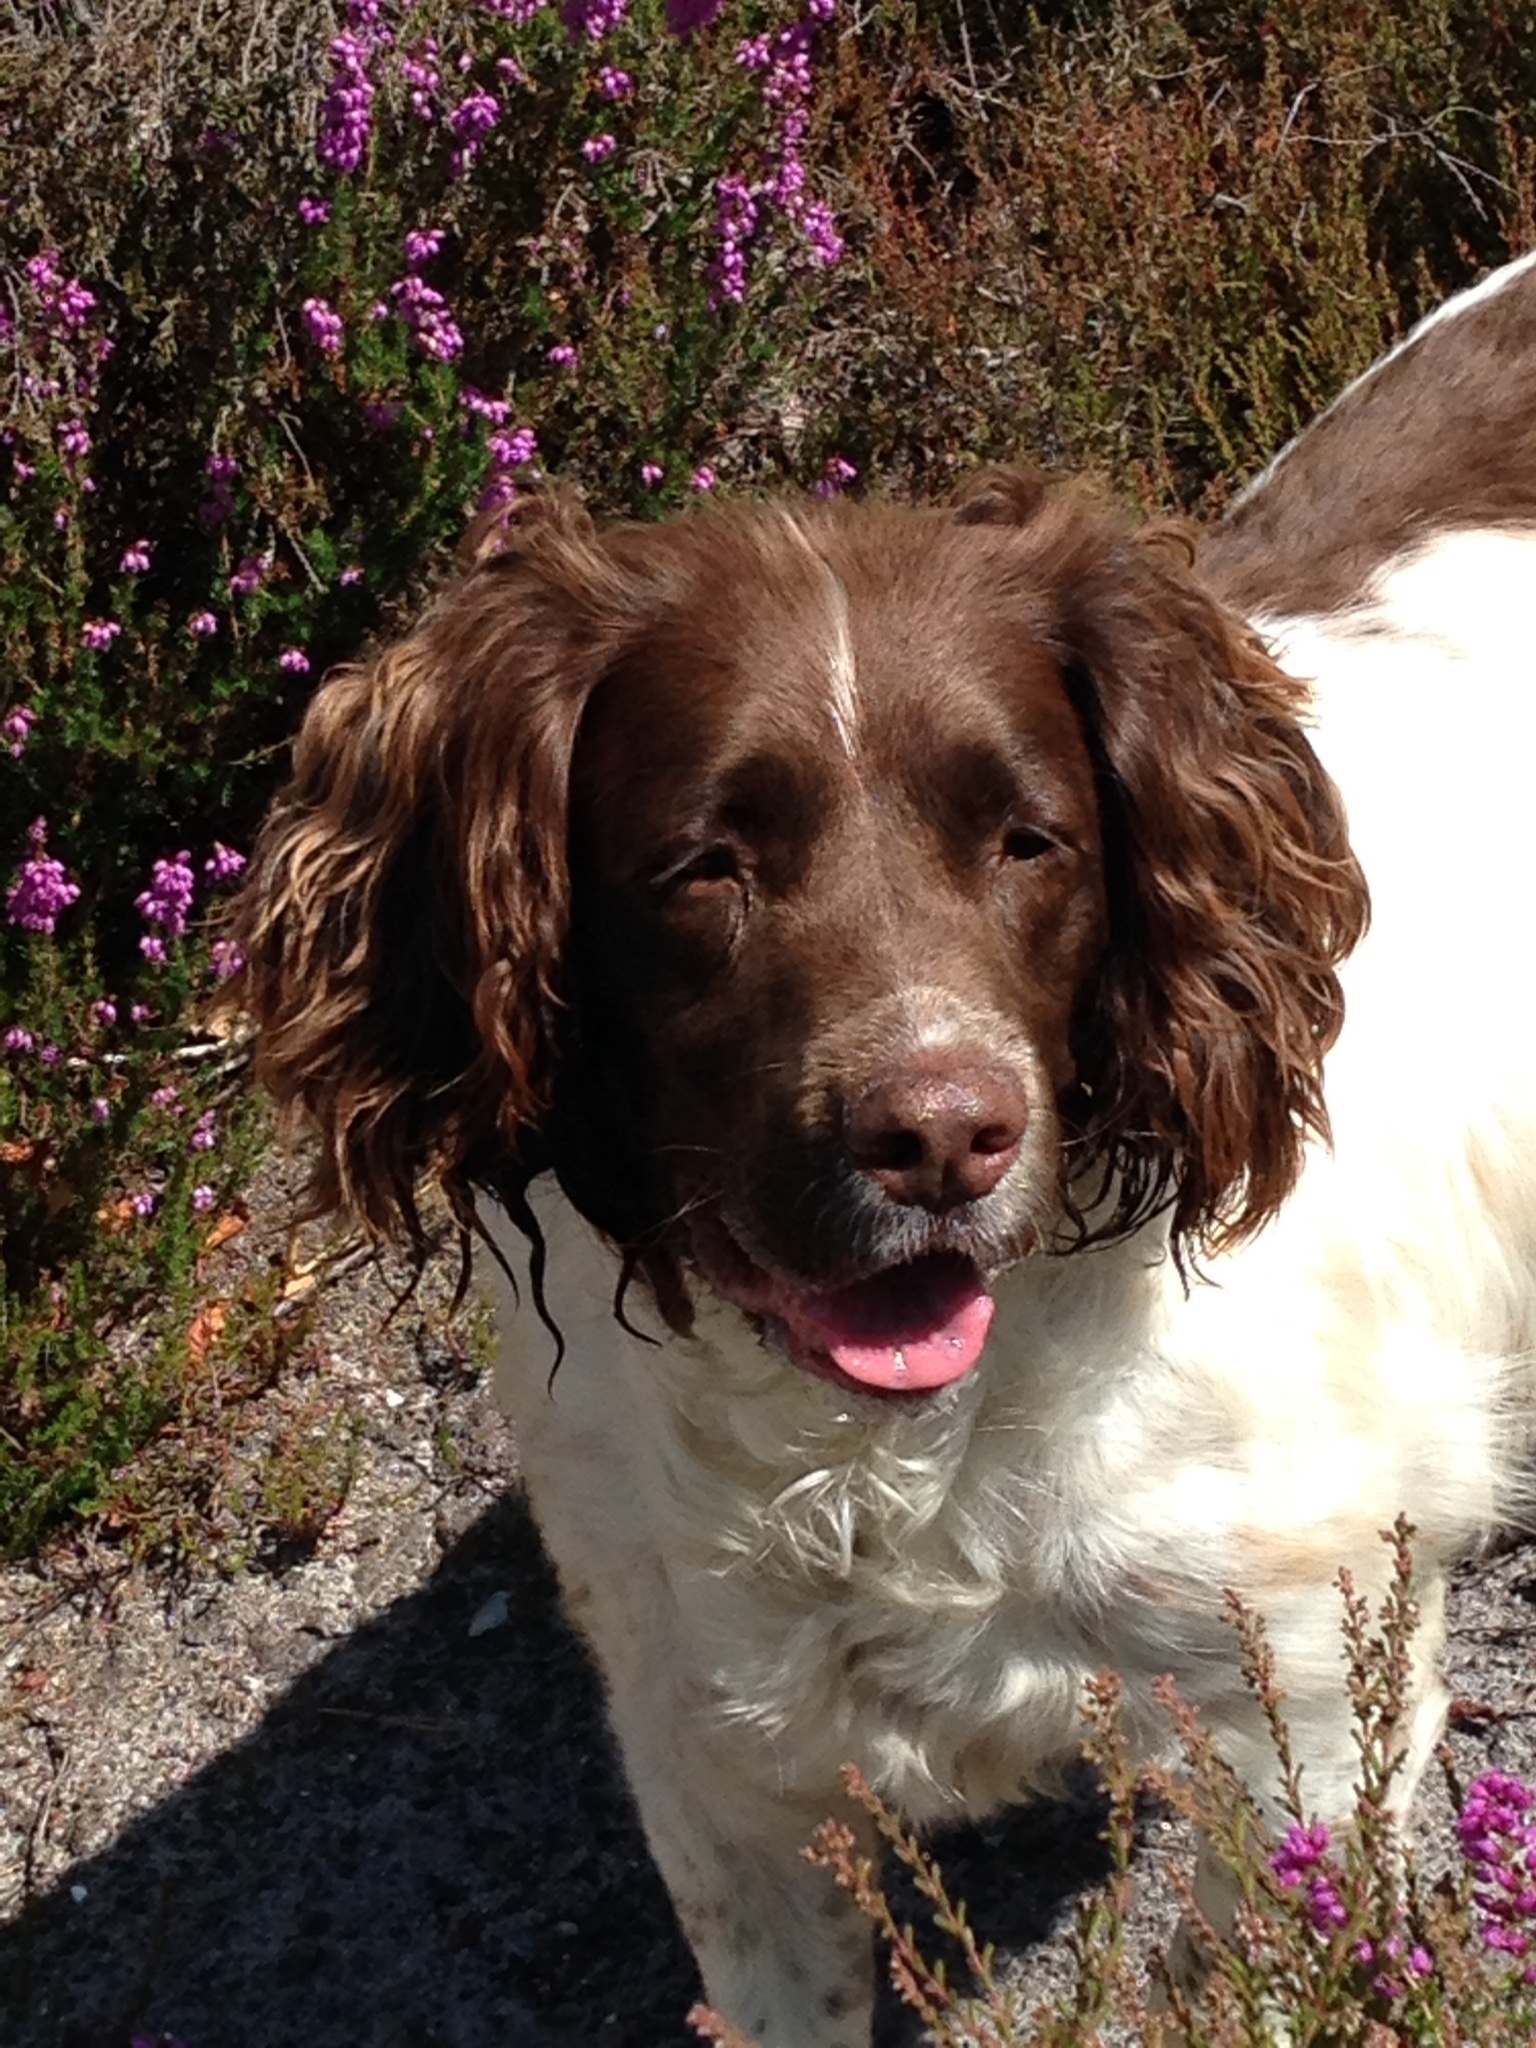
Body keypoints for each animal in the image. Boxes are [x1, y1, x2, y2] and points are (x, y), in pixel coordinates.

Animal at [234, 247, 1536, 2039]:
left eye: (1030, 838)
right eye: (703, 863)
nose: (940, 1134)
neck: (891, 1458)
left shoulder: (1313, 1699)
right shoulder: (715, 1758)